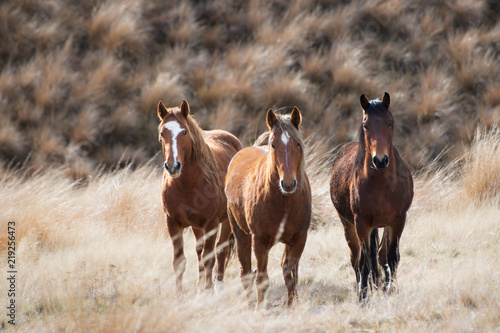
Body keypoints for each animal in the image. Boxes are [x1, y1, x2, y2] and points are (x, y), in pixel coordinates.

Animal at [157, 98, 241, 294]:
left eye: (184, 132)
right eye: (162, 133)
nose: (173, 166)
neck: (187, 186)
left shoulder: (211, 224)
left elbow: (210, 257)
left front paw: (208, 291)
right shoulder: (172, 223)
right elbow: (179, 261)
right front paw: (179, 294)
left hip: (226, 221)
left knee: (220, 250)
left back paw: (218, 286)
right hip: (196, 226)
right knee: (199, 250)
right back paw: (200, 283)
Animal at [225, 106, 310, 306]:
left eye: (297, 144)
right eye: (273, 145)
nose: (288, 184)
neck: (284, 202)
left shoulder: (299, 239)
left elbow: (290, 274)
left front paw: (291, 306)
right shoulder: (260, 242)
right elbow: (261, 279)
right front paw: (259, 308)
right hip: (241, 235)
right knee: (246, 273)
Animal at [328, 91, 414, 300]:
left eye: (389, 123)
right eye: (366, 124)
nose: (380, 160)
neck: (381, 184)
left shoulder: (398, 220)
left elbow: (391, 257)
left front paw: (389, 289)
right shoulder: (361, 224)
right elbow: (365, 260)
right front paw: (363, 297)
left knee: (380, 255)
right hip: (348, 225)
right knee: (357, 258)